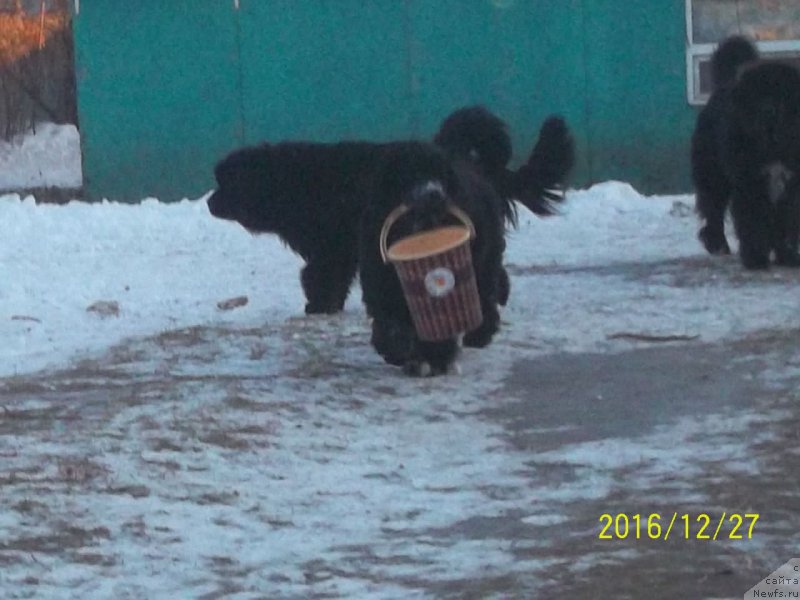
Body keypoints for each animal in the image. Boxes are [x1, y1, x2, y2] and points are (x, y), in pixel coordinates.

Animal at [205, 108, 568, 314]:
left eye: (226, 183)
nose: (209, 202)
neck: (290, 181)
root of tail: (472, 162)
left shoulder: (333, 248)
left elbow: (319, 276)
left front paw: (318, 306)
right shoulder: (338, 250)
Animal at [692, 36, 800, 268]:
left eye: (781, 93)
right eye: (757, 96)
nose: (768, 110)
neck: (772, 145)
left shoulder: (793, 185)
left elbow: (787, 222)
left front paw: (787, 256)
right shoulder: (750, 184)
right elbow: (753, 222)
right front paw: (756, 258)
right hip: (713, 177)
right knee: (713, 211)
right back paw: (718, 244)